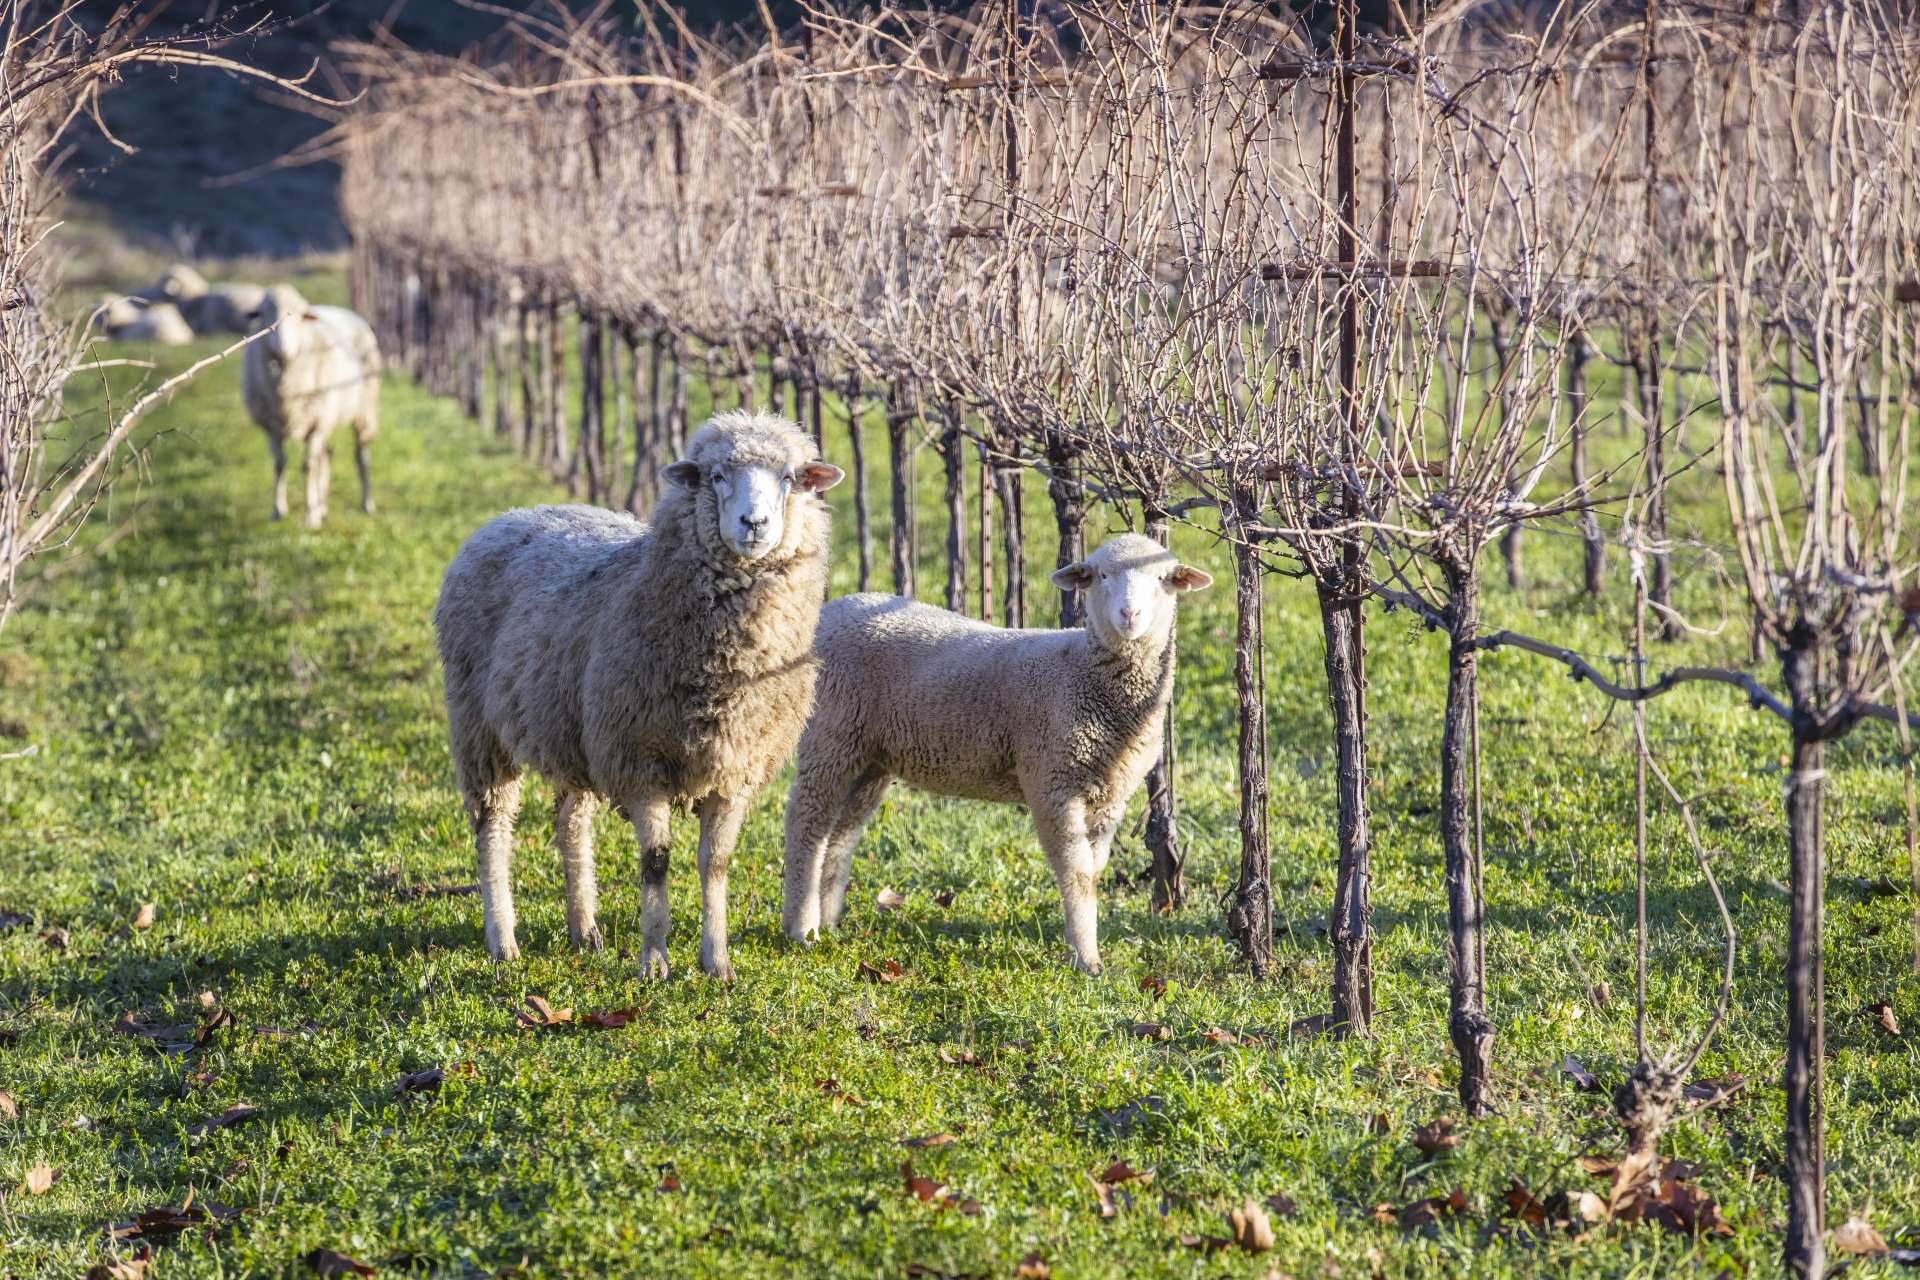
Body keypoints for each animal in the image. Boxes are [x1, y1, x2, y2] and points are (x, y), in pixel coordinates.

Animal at [240, 284, 381, 528]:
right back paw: (322, 505)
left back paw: (366, 505)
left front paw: (310, 517)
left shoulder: (317, 422)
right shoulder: (270, 426)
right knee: (326, 455)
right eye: (265, 315)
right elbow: (279, 463)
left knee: (361, 456)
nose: (284, 348)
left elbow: (308, 466)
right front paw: (279, 510)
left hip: (363, 409)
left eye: (299, 316)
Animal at [435, 411, 844, 980]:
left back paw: (584, 929)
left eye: (789, 478)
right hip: (478, 725)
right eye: (716, 476)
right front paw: (654, 961)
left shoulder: (735, 767)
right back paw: (504, 941)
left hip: (572, 731)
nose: (754, 524)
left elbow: (716, 863)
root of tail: (509, 516)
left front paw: (717, 962)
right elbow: (656, 862)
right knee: (492, 827)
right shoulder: (639, 760)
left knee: (570, 823)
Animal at [782, 533, 1213, 974]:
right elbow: (1076, 874)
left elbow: (1093, 873)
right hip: (829, 734)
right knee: (807, 826)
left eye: (1162, 578)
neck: (1082, 674)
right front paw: (1084, 957)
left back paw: (826, 919)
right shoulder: (1052, 783)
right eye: (1101, 576)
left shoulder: (1110, 794)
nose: (1130, 614)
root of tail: (831, 611)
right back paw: (802, 928)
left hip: (870, 757)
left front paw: (1086, 949)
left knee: (840, 835)